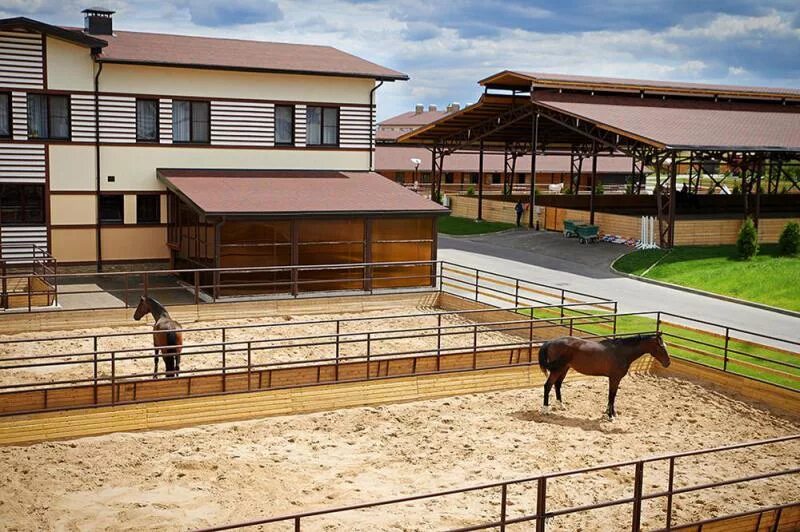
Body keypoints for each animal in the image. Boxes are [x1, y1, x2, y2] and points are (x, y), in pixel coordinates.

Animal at [540, 332, 672, 420]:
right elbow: (611, 396)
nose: (668, 363)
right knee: (548, 386)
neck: (621, 352)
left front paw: (611, 413)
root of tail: (550, 342)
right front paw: (610, 416)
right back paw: (545, 409)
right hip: (557, 369)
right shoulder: (614, 378)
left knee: (557, 384)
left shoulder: (614, 379)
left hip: (564, 369)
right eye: (661, 347)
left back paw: (561, 405)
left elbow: (612, 396)